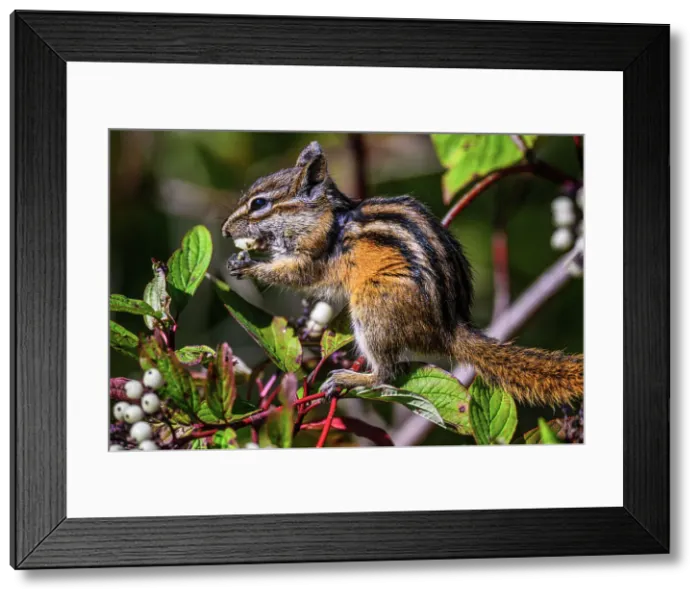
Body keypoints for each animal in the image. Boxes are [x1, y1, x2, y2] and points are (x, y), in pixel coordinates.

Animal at [221, 141, 583, 407]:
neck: (325, 217)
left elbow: (297, 276)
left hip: (374, 304)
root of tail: (449, 329)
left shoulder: (315, 254)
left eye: (259, 204)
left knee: (388, 374)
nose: (225, 230)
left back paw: (352, 377)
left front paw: (249, 265)